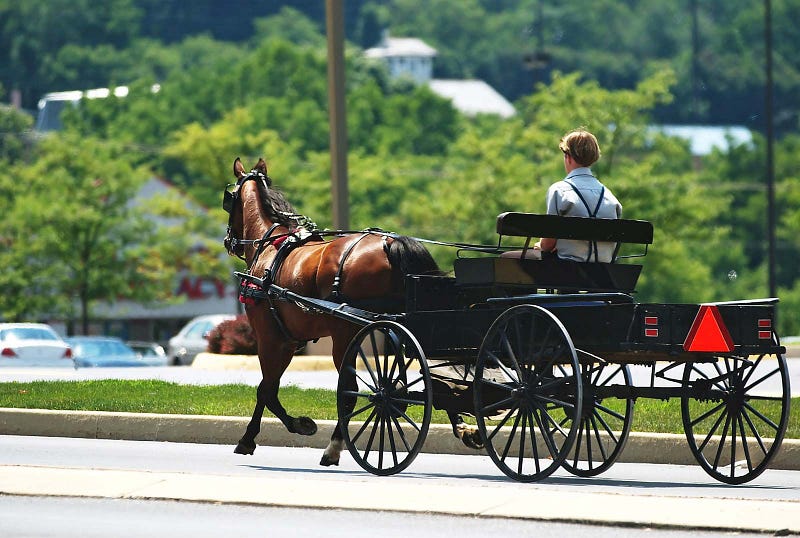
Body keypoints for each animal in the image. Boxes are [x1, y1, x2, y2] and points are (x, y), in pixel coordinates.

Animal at [223, 157, 482, 462]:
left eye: (228, 199)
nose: (228, 242)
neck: (270, 247)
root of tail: (390, 243)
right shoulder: (289, 340)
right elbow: (269, 388)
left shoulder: (273, 339)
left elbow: (266, 390)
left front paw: (264, 434)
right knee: (429, 374)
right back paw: (462, 426)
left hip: (346, 334)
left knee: (351, 390)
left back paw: (334, 446)